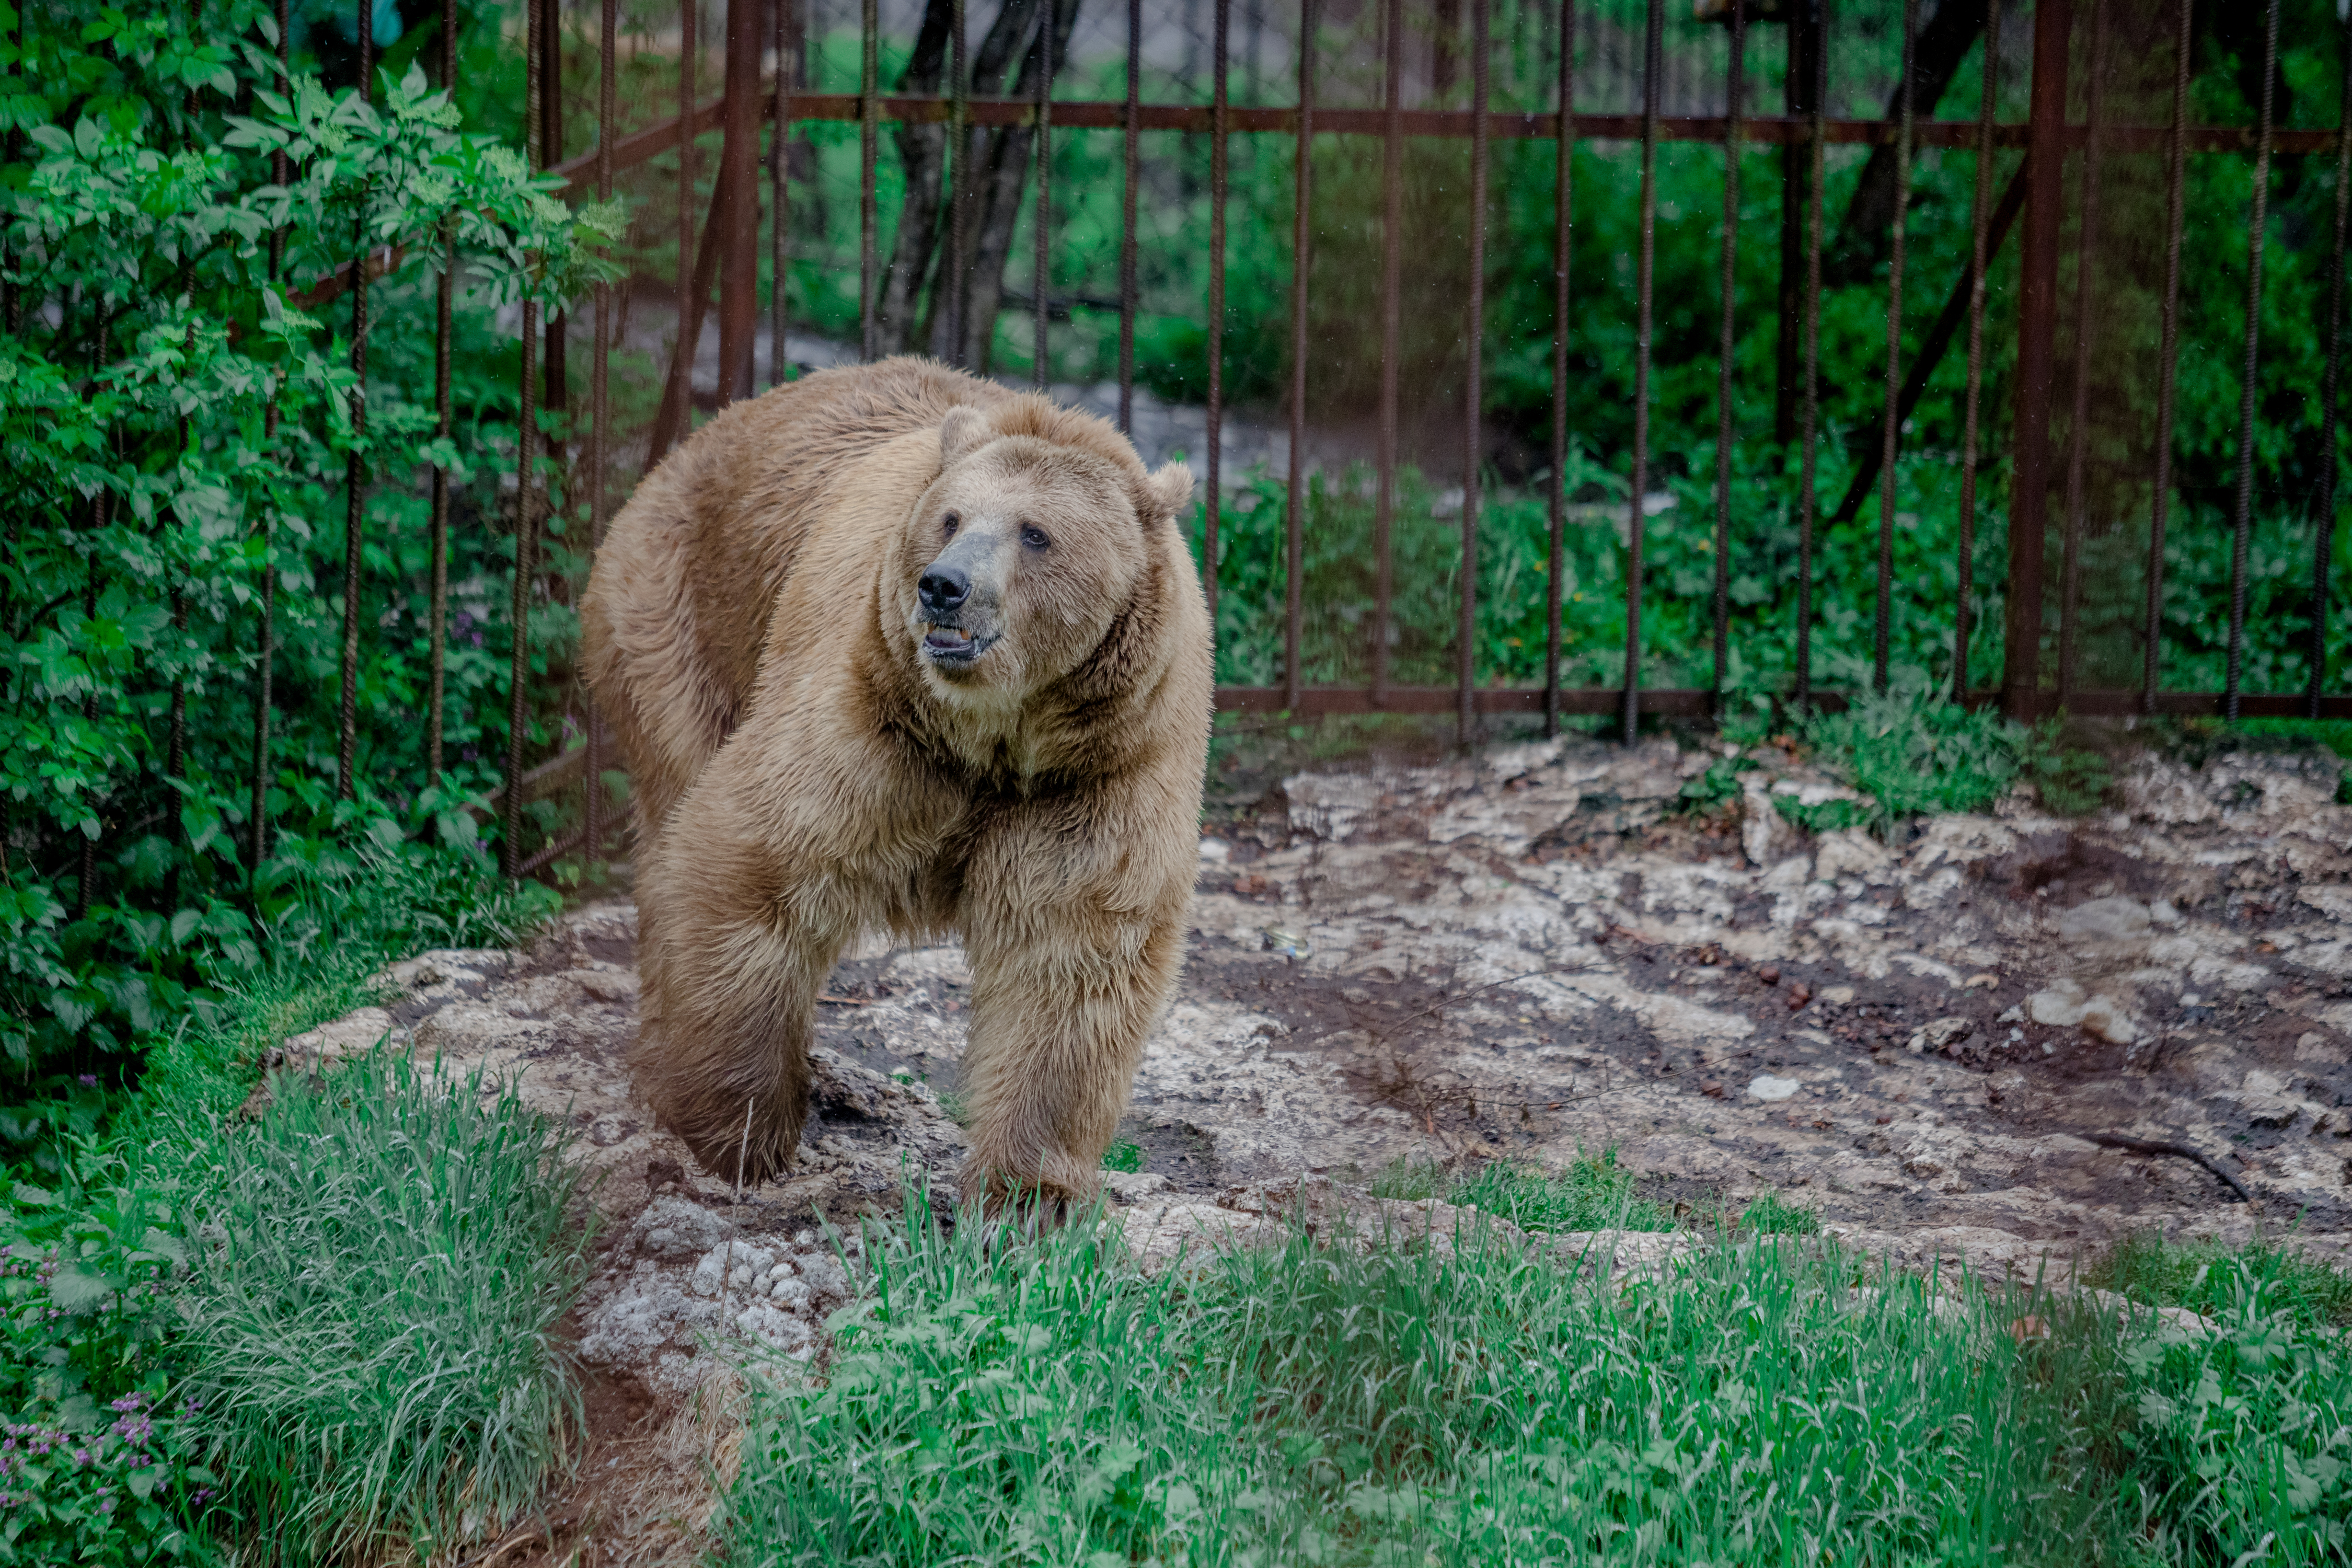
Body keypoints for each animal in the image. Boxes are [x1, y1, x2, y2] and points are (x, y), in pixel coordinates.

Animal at [579, 362, 1214, 1213]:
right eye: (950, 518)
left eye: (1035, 533)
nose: (943, 587)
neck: (996, 738)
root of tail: (691, 446)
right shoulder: (877, 717)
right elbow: (751, 864)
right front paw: (741, 1134)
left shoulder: (1099, 769)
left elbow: (1073, 957)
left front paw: (1027, 1195)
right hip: (678, 625)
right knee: (670, 826)